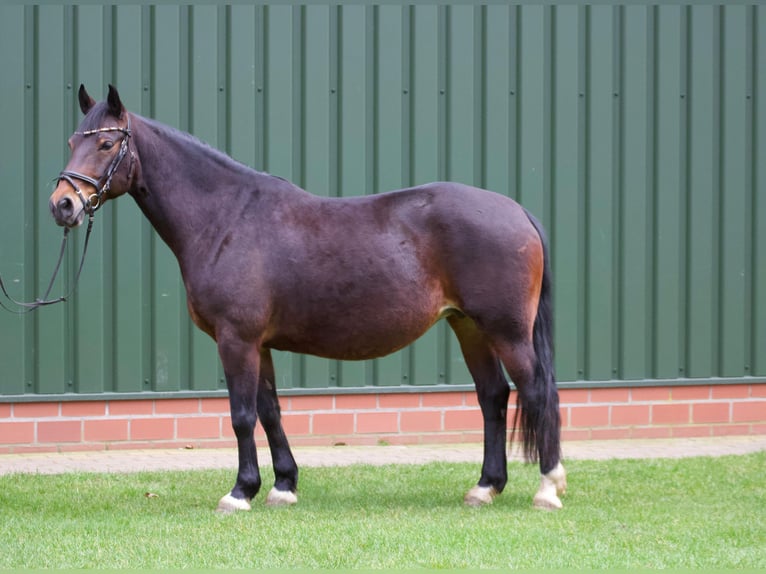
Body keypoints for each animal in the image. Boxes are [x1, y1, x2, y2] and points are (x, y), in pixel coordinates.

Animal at [49, 85, 566, 512]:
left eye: (107, 144)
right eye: (72, 142)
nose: (62, 205)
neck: (226, 218)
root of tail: (517, 210)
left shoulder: (236, 340)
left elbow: (241, 415)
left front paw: (239, 493)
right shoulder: (258, 345)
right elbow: (270, 411)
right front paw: (282, 486)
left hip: (507, 331)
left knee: (536, 391)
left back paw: (547, 488)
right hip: (469, 327)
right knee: (493, 396)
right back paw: (485, 487)